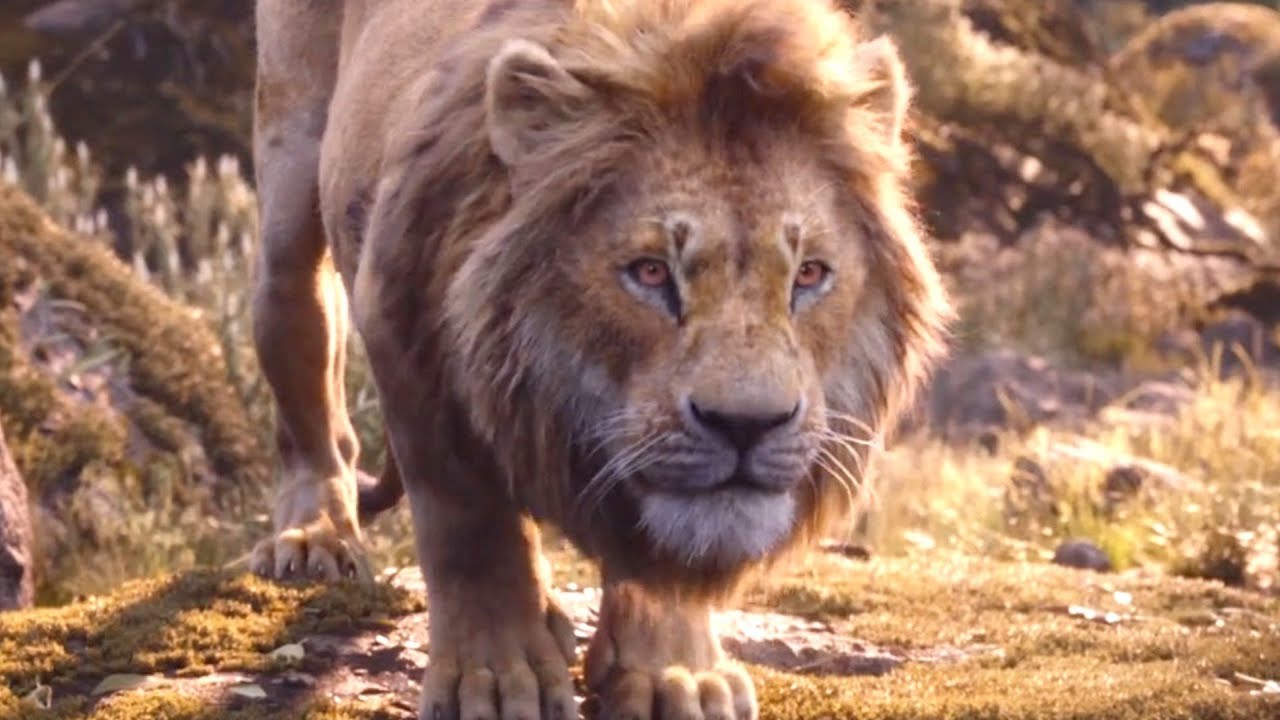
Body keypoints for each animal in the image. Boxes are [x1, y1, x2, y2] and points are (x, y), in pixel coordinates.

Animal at [248, 0, 953, 718]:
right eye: (649, 272)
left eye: (808, 275)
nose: (747, 425)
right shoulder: (399, 316)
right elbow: (469, 523)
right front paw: (496, 680)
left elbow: (666, 555)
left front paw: (677, 675)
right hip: (288, 186)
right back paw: (315, 538)